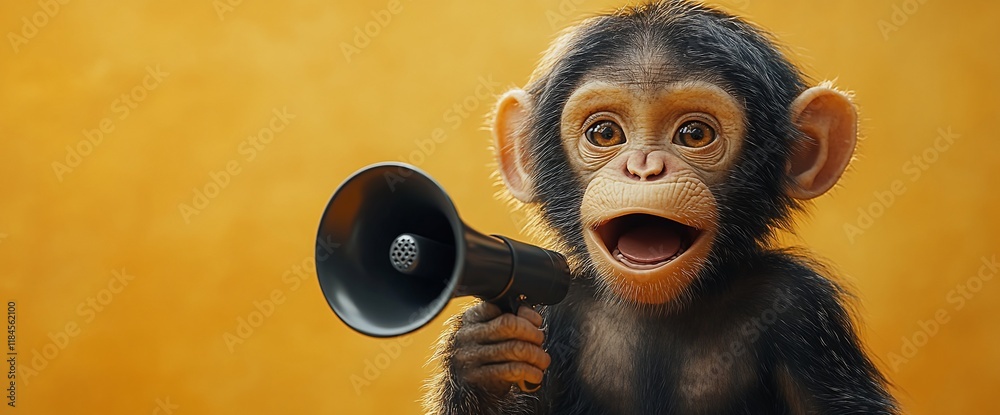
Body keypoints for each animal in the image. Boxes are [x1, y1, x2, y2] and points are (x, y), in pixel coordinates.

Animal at [422, 1, 897, 414]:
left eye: (694, 134)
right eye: (605, 133)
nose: (644, 168)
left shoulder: (802, 311)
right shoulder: (550, 310)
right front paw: (486, 359)